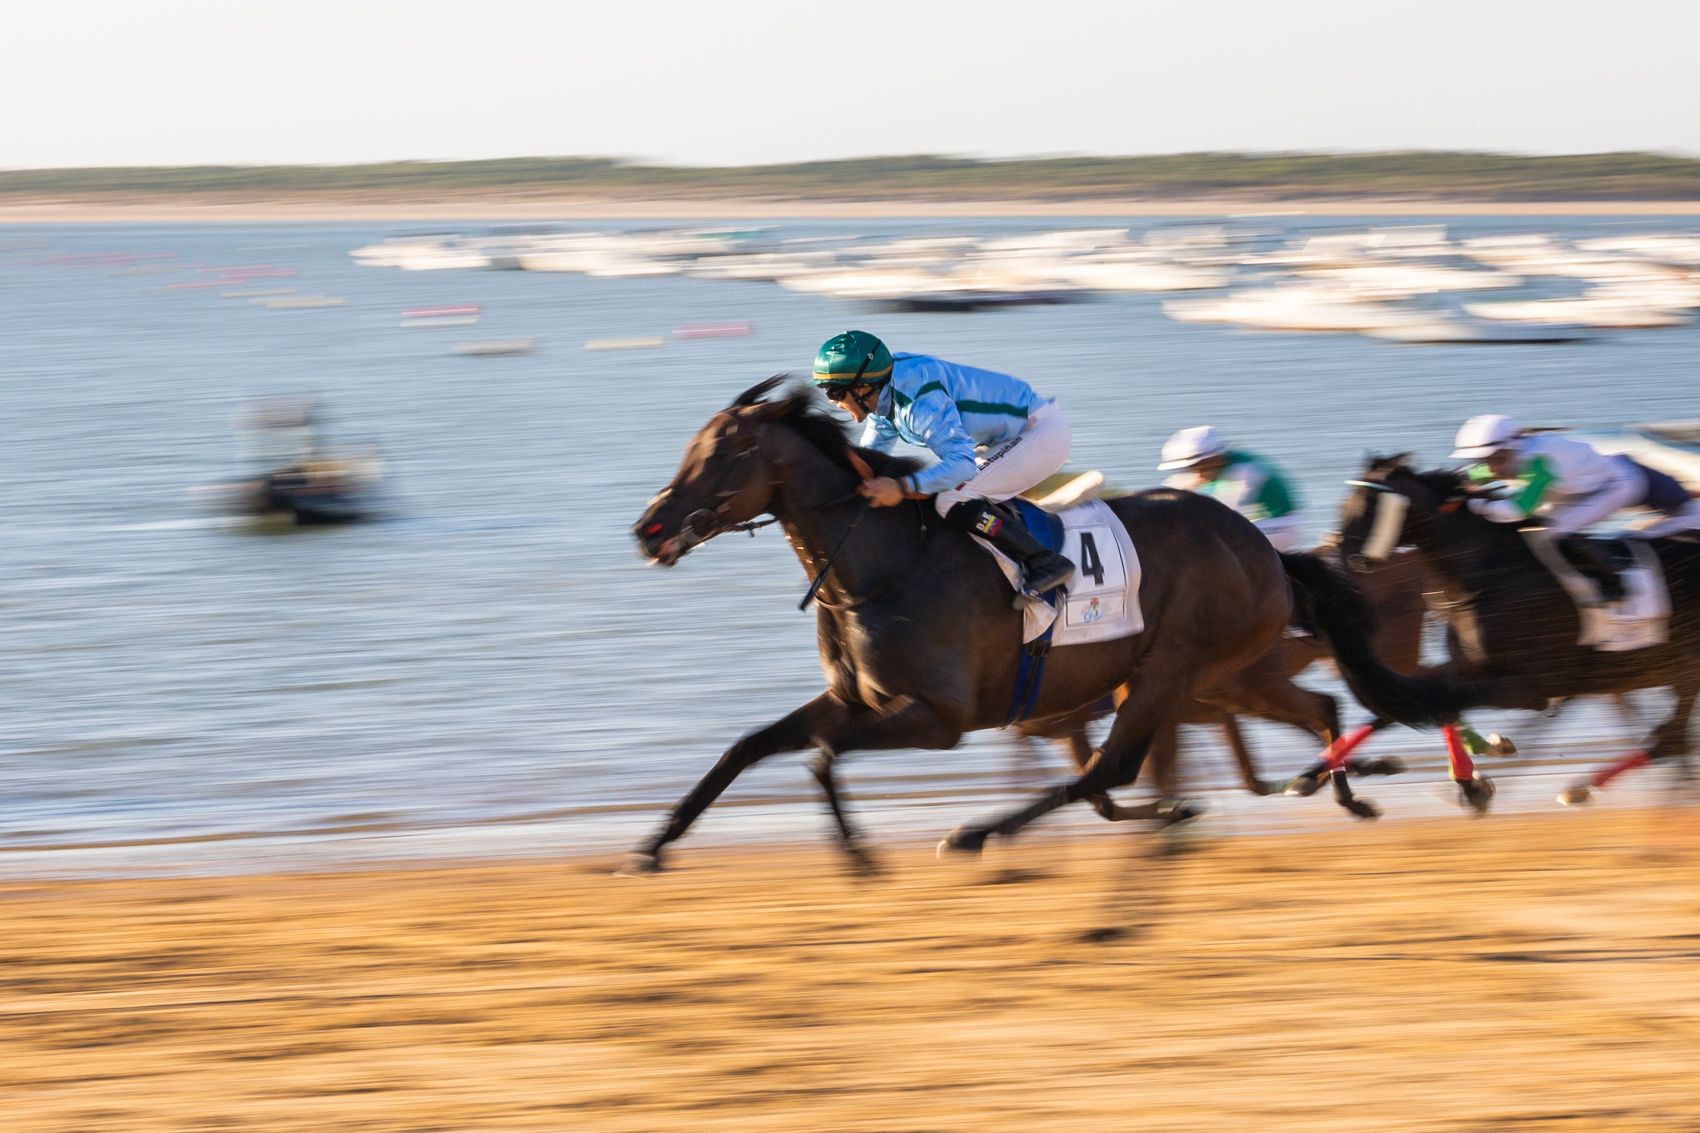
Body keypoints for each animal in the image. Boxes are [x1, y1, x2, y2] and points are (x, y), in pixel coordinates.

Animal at [626, 378, 1442, 872]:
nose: (648, 528)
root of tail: (1263, 549)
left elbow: (823, 756)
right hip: (1210, 677)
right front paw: (654, 844)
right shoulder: (855, 699)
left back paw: (977, 832)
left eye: (726, 451)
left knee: (1107, 770)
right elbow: (748, 746)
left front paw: (859, 856)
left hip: (1174, 669)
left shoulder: (938, 717)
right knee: (1313, 707)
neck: (884, 563)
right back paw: (1345, 792)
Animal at [1334, 455, 1700, 805]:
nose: (1345, 558)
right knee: (1673, 738)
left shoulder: (1530, 688)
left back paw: (1583, 790)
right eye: (1345, 503)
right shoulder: (1469, 667)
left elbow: (1443, 703)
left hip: (1682, 671)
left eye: (1369, 502)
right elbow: (1412, 704)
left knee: (1671, 739)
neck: (1492, 574)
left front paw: (1473, 783)